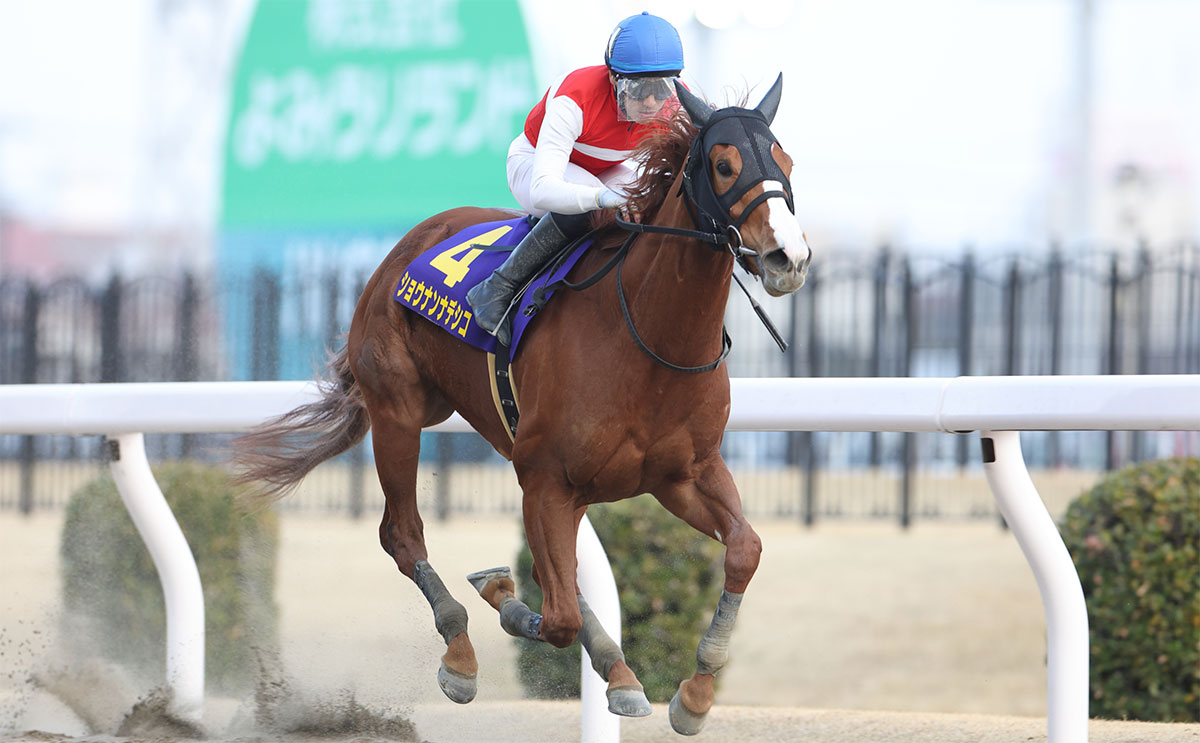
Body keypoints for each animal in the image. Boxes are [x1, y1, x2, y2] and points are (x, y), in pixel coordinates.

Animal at [231, 76, 816, 739]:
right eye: (723, 165)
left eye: (787, 161)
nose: (788, 258)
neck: (647, 335)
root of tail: (406, 245)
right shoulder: (545, 476)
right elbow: (555, 616)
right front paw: (498, 597)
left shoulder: (682, 474)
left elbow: (744, 548)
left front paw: (693, 695)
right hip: (400, 412)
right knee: (403, 534)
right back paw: (461, 653)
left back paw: (617, 673)